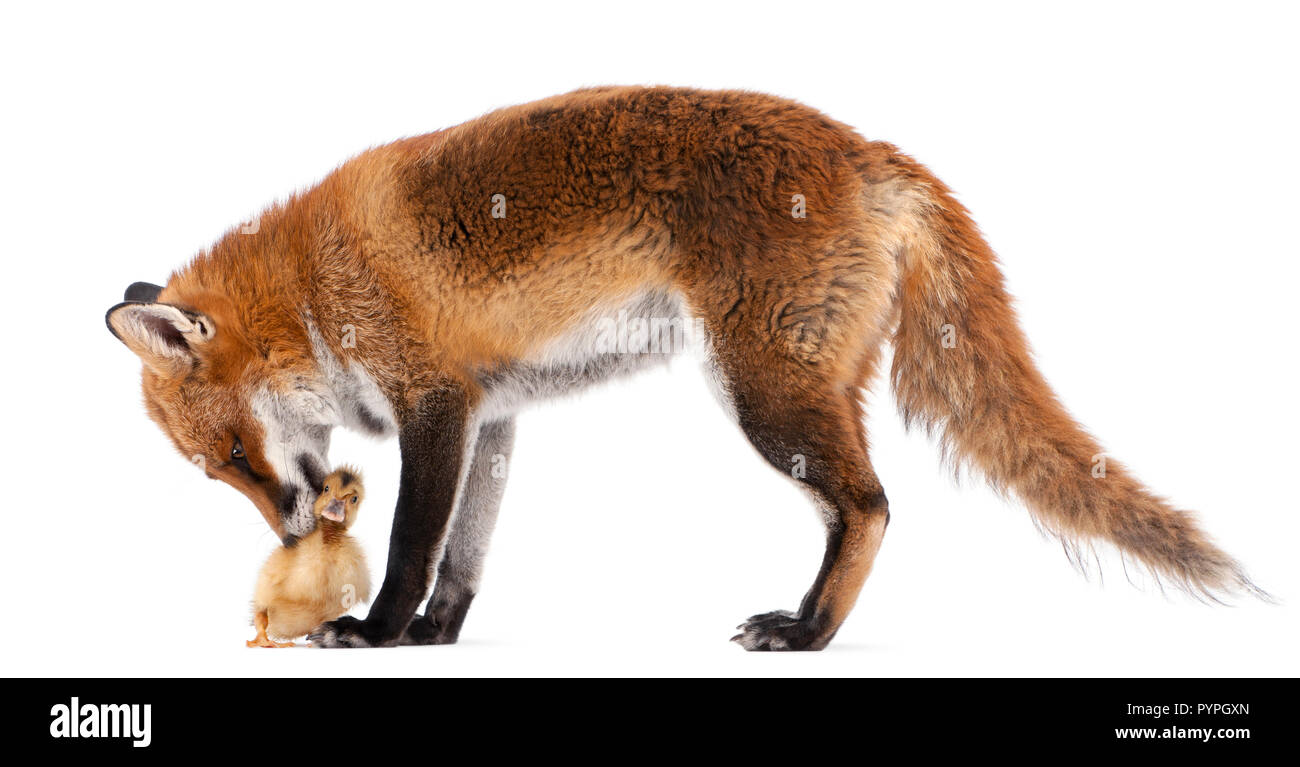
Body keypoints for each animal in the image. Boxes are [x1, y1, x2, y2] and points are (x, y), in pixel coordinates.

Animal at [106, 90, 1263, 655]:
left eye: (229, 455)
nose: (292, 535)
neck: (314, 287)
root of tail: (870, 150)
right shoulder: (494, 414)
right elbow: (467, 553)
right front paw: (438, 635)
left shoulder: (434, 400)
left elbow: (407, 543)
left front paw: (380, 632)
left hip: (765, 396)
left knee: (872, 506)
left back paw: (807, 631)